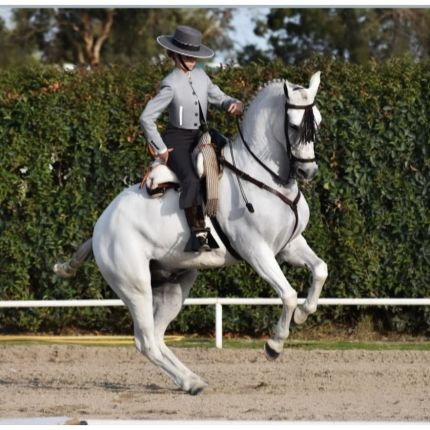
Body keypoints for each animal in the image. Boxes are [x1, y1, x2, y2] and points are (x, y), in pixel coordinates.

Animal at [55, 71, 328, 396]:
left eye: (318, 122)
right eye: (295, 125)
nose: (308, 172)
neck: (263, 176)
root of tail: (100, 227)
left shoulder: (288, 245)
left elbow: (320, 270)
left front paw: (303, 313)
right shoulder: (257, 251)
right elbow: (287, 294)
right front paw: (274, 345)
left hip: (174, 286)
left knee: (157, 338)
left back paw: (191, 380)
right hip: (135, 287)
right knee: (146, 341)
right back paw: (191, 382)